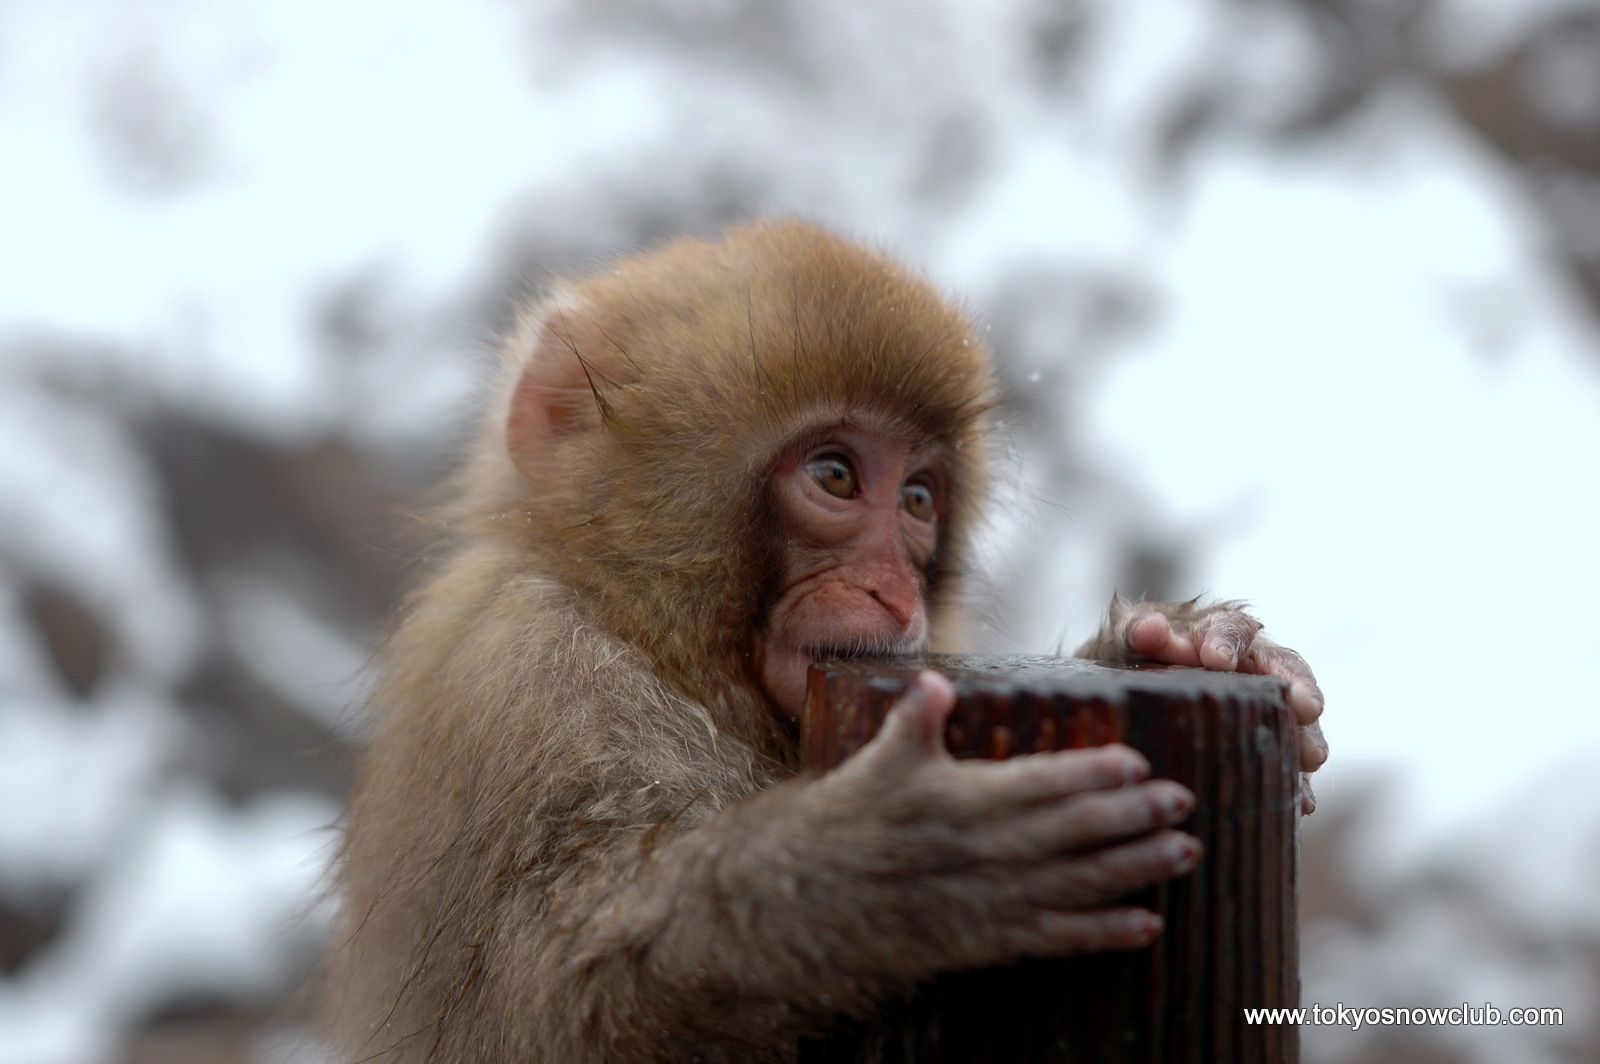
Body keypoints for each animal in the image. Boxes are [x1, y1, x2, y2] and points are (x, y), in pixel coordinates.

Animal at [326, 221, 1328, 1062]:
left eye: (918, 499)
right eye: (836, 477)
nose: (894, 590)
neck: (656, 639)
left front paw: (1190, 646)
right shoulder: (528, 682)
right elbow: (545, 1013)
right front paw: (867, 874)